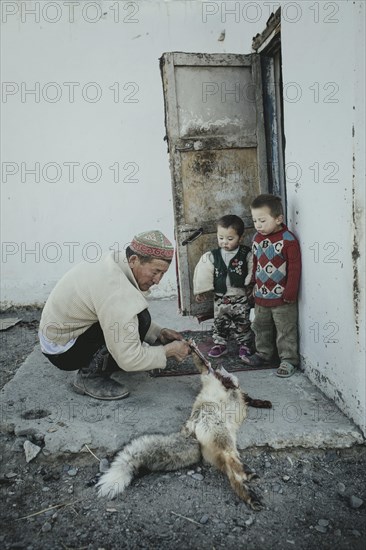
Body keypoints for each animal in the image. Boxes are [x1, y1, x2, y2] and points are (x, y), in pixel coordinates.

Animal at [96, 348, 270, 512]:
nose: (219, 363)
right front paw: (195, 352)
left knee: (231, 473)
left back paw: (249, 493)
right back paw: (248, 482)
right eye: (219, 367)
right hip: (225, 442)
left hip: (223, 448)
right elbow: (212, 372)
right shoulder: (214, 378)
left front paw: (263, 403)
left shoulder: (234, 390)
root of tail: (189, 429)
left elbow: (248, 397)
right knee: (232, 469)